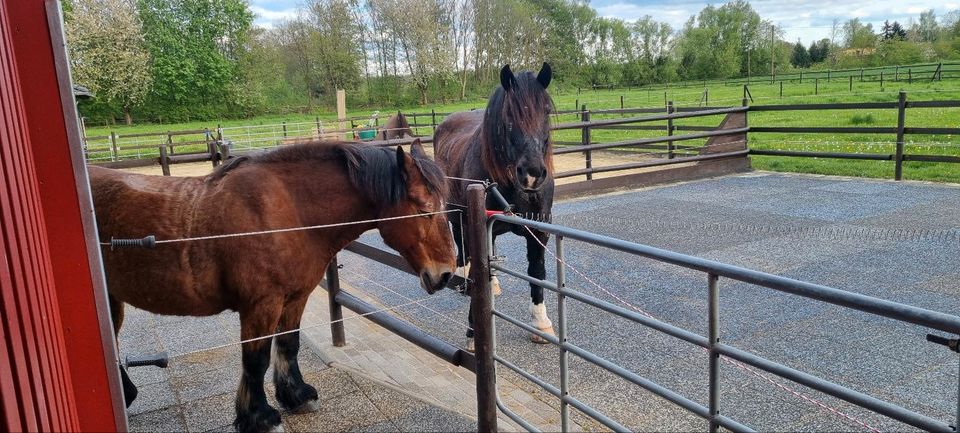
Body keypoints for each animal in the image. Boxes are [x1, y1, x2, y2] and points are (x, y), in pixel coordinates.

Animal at [94, 140, 458, 430]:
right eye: (424, 210)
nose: (445, 274)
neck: (287, 212)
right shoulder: (261, 306)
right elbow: (256, 361)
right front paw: (260, 417)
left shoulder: (295, 298)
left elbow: (288, 344)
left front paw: (296, 396)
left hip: (112, 298)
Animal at [434, 62, 556, 348]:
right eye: (509, 115)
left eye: (546, 111)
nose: (532, 173)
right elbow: (480, 270)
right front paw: (472, 333)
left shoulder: (539, 230)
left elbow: (537, 272)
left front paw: (541, 324)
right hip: (456, 213)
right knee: (462, 245)